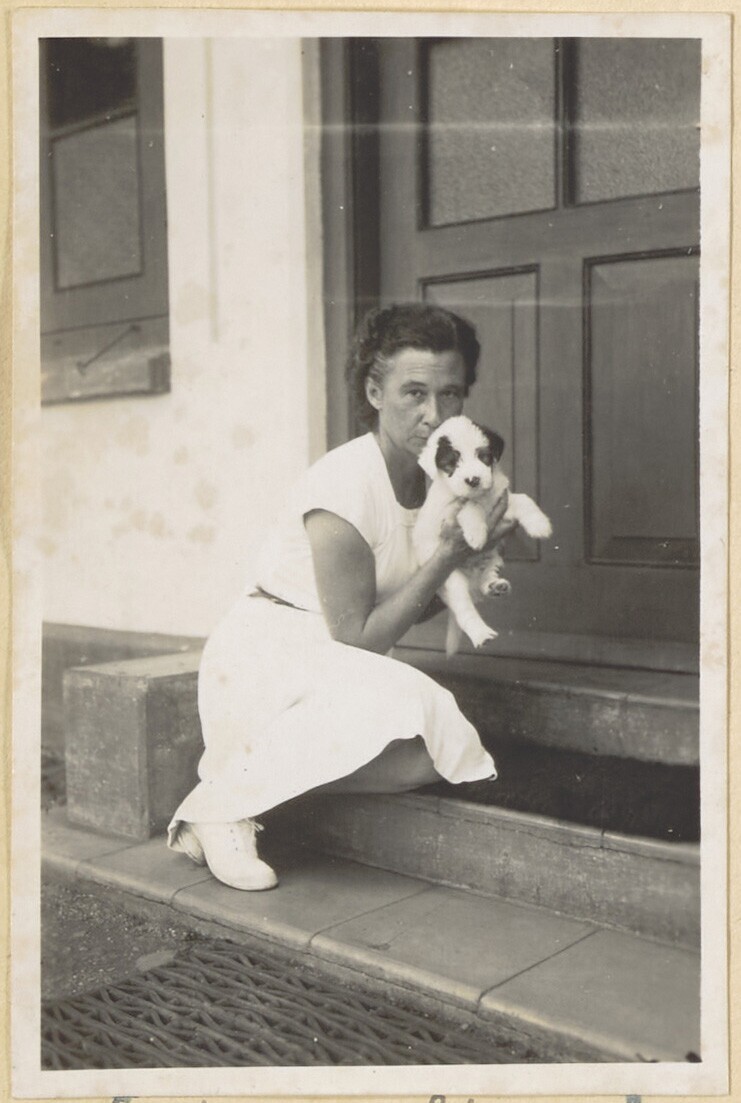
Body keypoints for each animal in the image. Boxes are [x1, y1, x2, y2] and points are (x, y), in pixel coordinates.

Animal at [414, 415, 552, 656]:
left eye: (483, 456)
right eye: (451, 464)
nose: (473, 480)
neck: (481, 496)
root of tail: (471, 578)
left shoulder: (501, 499)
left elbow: (523, 499)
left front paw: (539, 524)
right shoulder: (448, 511)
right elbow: (470, 506)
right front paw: (477, 534)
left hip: (494, 559)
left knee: (484, 580)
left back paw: (495, 586)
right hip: (451, 579)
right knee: (464, 607)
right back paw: (480, 633)